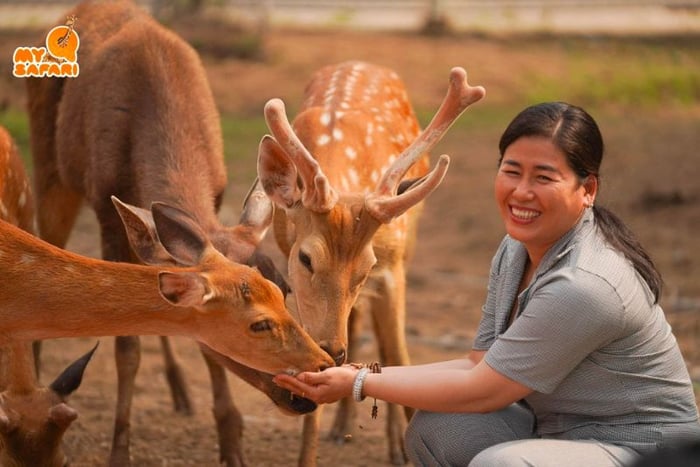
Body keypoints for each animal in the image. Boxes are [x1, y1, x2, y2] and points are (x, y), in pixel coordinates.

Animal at [24, 1, 292, 466]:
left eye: (286, 289)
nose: (297, 390)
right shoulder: (106, 209)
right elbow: (126, 346)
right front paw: (119, 451)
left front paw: (231, 442)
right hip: (51, 168)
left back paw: (181, 391)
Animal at [258, 61, 486, 464]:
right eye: (305, 258)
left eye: (366, 265)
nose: (333, 351)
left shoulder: (391, 267)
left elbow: (399, 353)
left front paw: (407, 446)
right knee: (359, 321)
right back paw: (342, 428)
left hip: (408, 246)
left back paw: (395, 445)